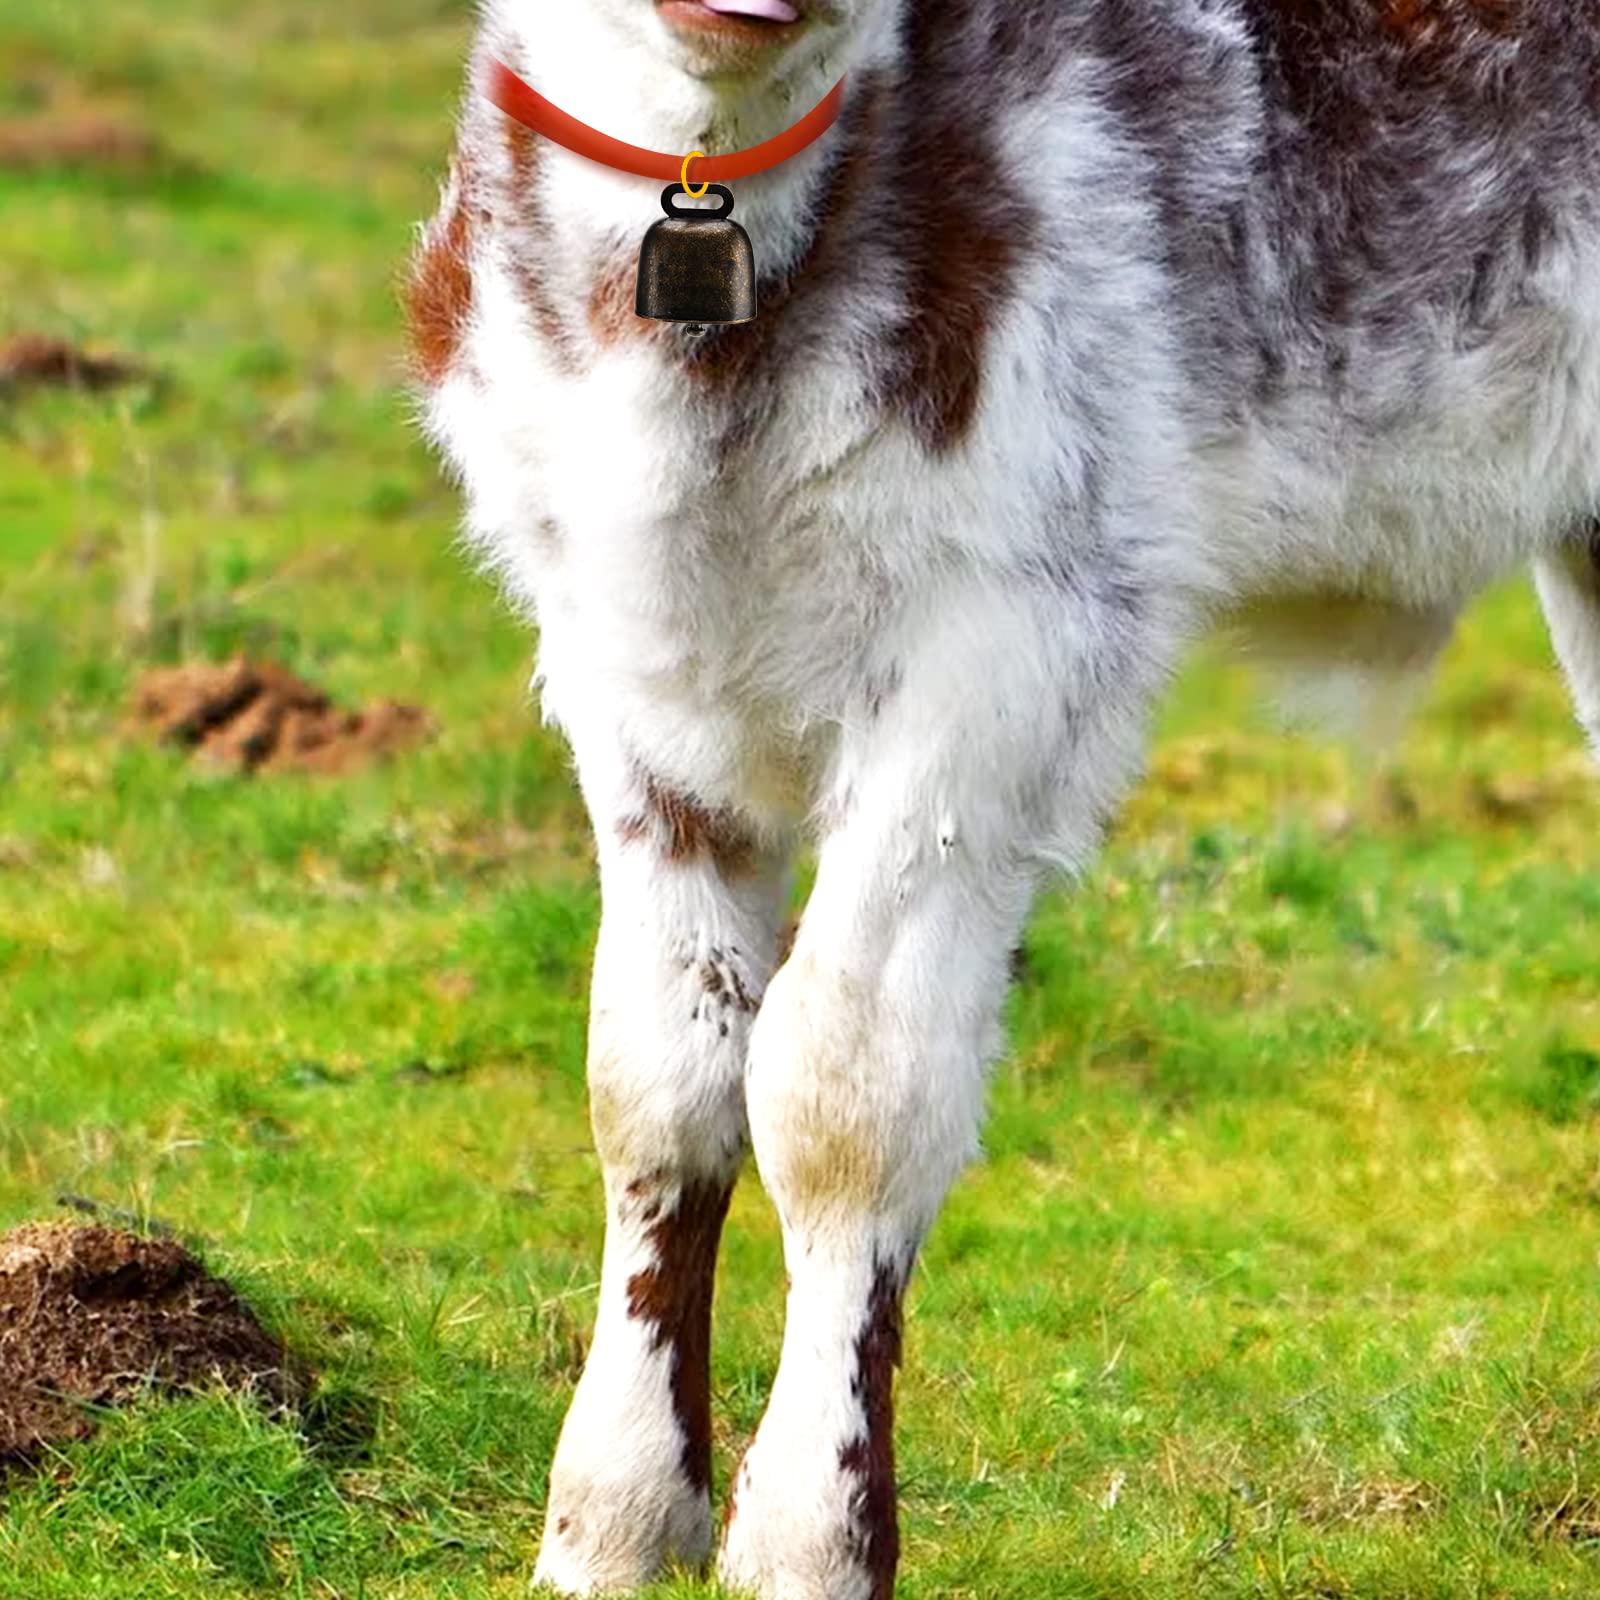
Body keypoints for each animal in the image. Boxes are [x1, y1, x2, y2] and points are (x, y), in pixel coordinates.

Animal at [409, 6, 1600, 1593]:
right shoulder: (622, 661)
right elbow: (655, 1083)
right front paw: (612, 1520)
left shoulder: (999, 642)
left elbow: (841, 1093)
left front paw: (811, 1537)